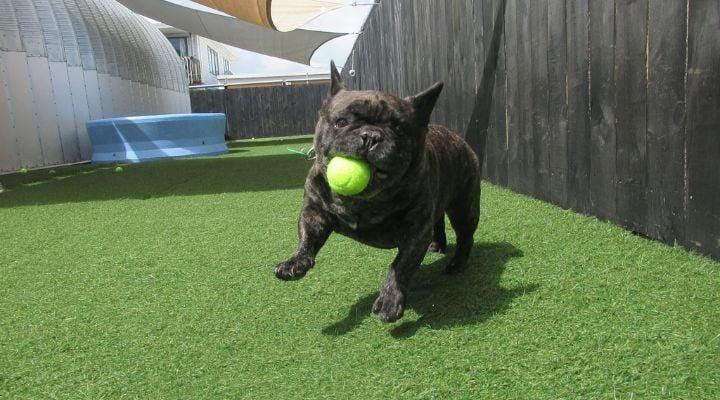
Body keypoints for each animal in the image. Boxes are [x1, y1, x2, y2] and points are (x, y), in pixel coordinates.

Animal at [272, 63, 480, 324]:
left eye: (398, 128)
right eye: (341, 122)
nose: (371, 135)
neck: (362, 201)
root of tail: (460, 139)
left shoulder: (415, 233)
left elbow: (400, 266)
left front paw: (390, 300)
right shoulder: (314, 211)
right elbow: (307, 237)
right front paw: (295, 262)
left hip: (464, 207)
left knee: (465, 236)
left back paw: (457, 264)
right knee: (438, 221)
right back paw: (437, 244)